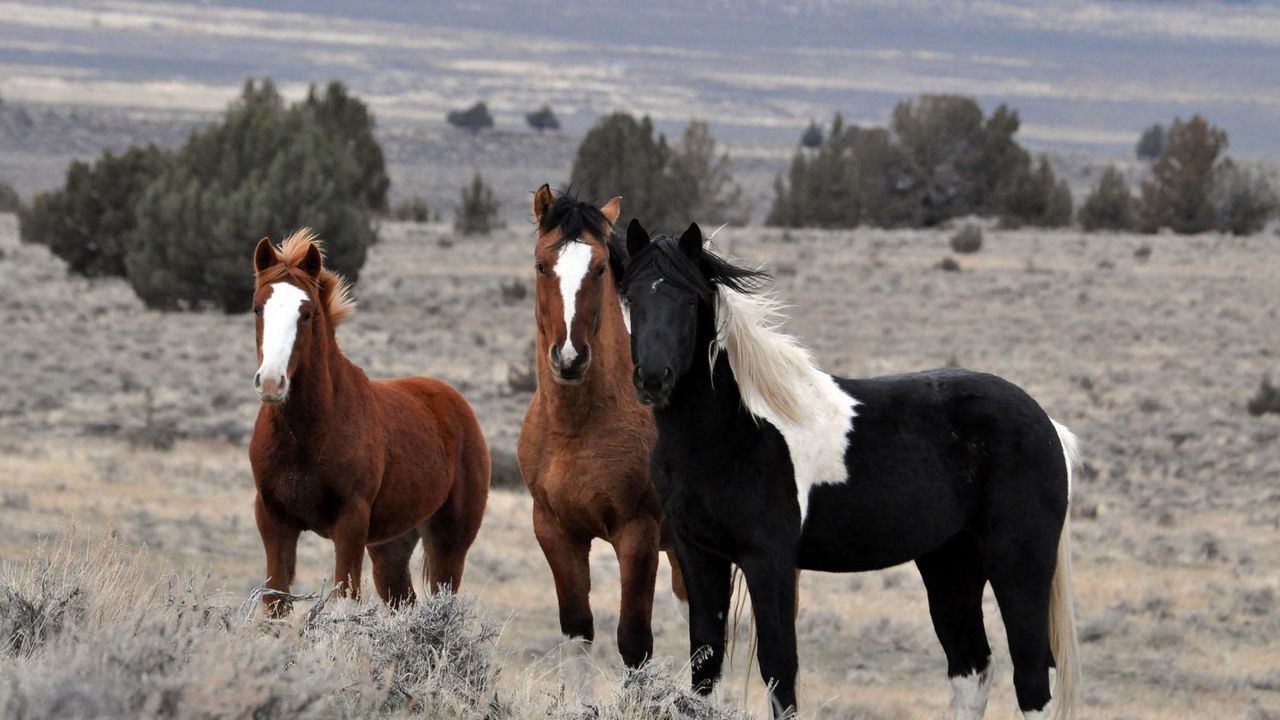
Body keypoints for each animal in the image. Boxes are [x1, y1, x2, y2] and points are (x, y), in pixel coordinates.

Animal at [248, 228, 488, 609]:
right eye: (258, 308)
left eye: (307, 313)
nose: (272, 382)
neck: (307, 436)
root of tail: (455, 403)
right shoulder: (274, 521)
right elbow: (275, 602)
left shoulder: (351, 523)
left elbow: (344, 598)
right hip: (390, 547)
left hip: (449, 544)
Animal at [514, 184, 686, 666]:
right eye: (541, 264)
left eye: (600, 267)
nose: (570, 357)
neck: (577, 429)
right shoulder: (556, 532)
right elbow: (577, 633)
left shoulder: (637, 534)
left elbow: (634, 643)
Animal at [619, 220, 1080, 717]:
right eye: (632, 298)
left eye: (689, 300)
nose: (653, 378)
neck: (735, 428)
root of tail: (1047, 425)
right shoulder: (698, 554)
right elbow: (705, 665)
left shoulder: (768, 559)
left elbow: (779, 670)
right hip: (950, 563)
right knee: (971, 667)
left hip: (1018, 563)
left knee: (1032, 674)